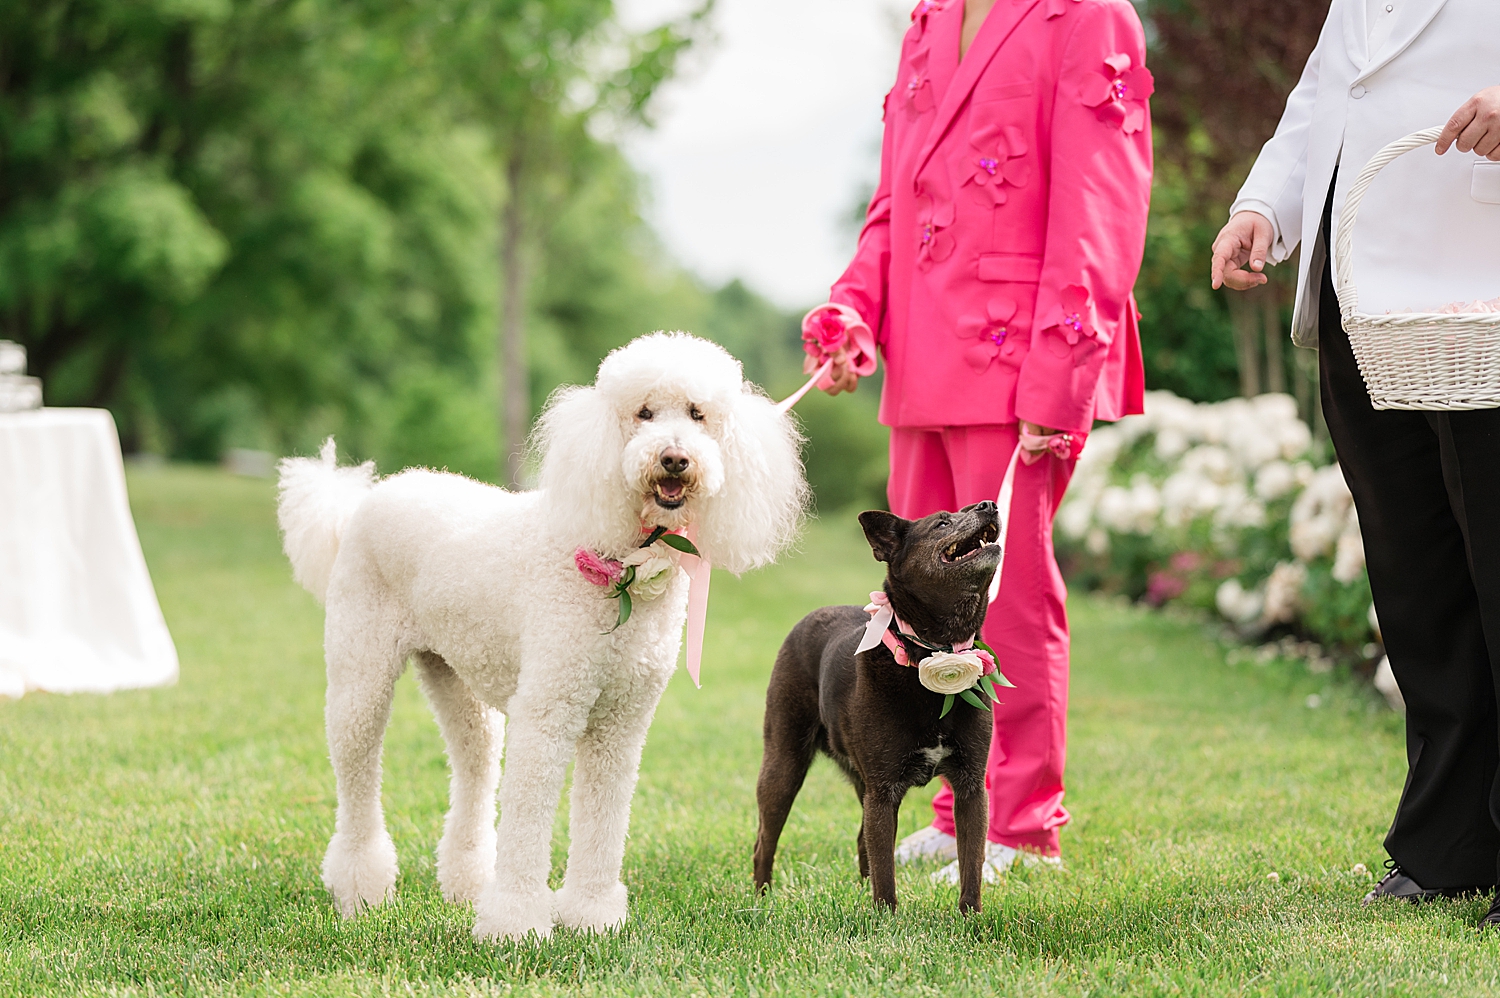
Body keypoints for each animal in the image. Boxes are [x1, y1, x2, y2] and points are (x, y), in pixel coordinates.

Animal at [756, 501, 1002, 912]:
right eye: (942, 523)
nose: (990, 504)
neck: (932, 653)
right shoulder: (884, 791)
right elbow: (886, 868)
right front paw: (885, 917)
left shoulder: (970, 787)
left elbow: (971, 862)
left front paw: (972, 917)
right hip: (783, 766)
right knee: (765, 840)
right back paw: (761, 897)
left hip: (861, 784)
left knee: (861, 841)